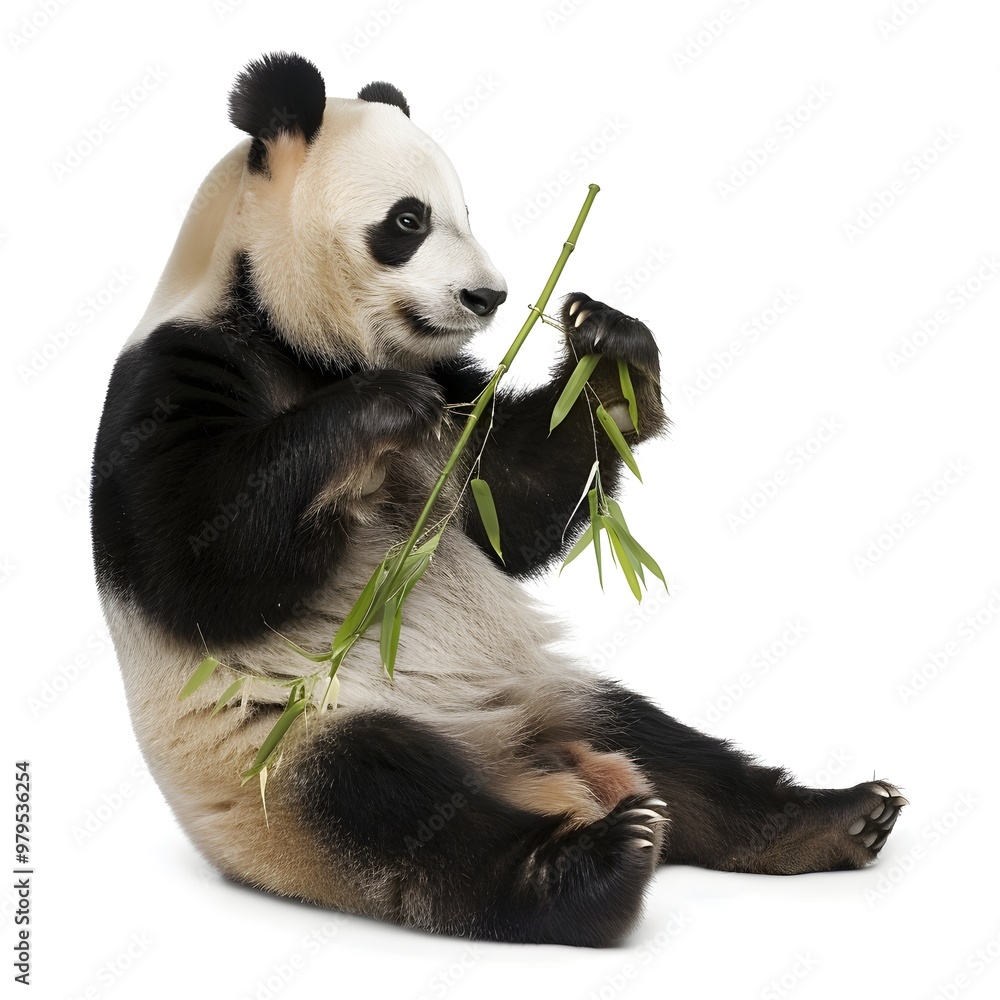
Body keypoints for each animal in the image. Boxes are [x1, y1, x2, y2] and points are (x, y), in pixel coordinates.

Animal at [91, 52, 906, 948]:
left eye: (466, 211)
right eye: (408, 220)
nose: (489, 297)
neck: (297, 340)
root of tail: (533, 768)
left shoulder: (458, 416)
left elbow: (512, 500)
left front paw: (608, 351)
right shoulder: (171, 378)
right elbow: (201, 561)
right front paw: (381, 408)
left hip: (556, 692)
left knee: (674, 753)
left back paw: (832, 818)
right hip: (286, 745)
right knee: (397, 808)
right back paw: (593, 865)